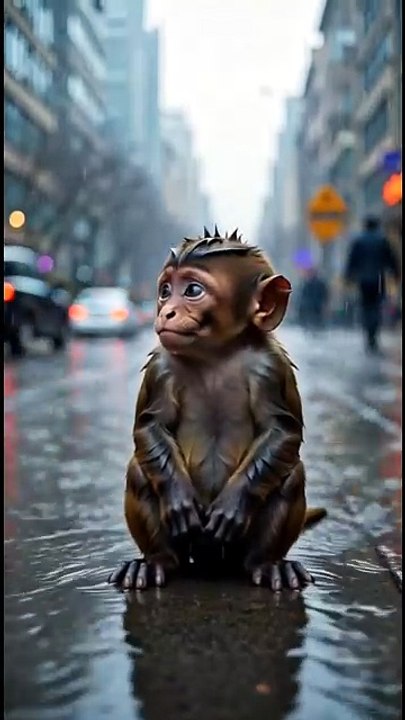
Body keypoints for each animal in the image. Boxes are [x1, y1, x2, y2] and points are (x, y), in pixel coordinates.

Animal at [108, 226, 326, 592]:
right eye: (165, 291)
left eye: (193, 290)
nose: (165, 312)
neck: (215, 353)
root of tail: (211, 562)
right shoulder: (161, 366)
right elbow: (150, 426)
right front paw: (179, 498)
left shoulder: (271, 366)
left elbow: (282, 430)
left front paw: (233, 505)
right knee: (139, 469)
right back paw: (155, 562)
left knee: (291, 475)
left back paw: (267, 564)